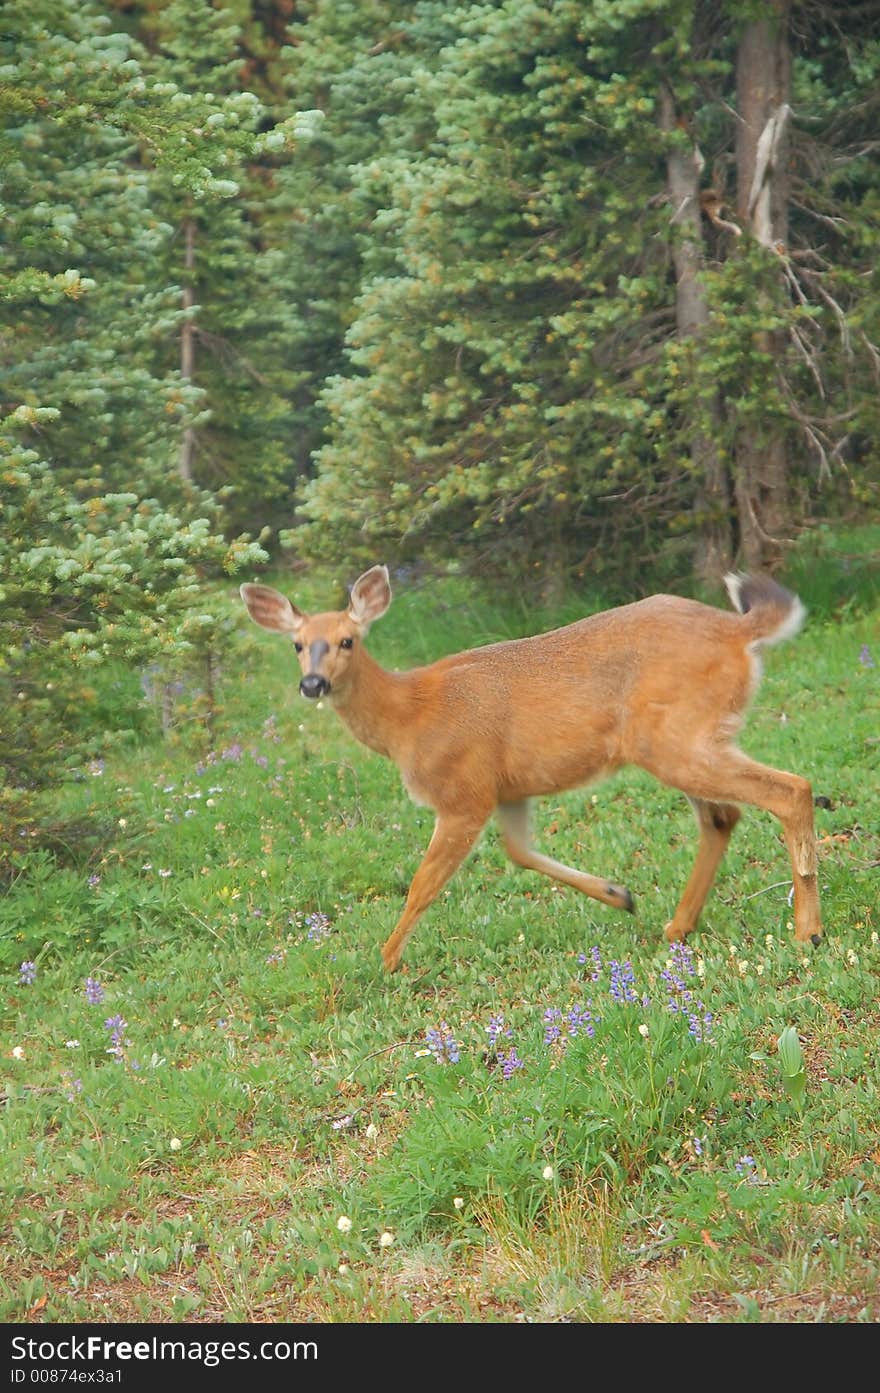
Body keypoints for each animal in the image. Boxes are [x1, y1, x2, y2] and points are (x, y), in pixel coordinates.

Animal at [236, 565, 824, 969]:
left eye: (347, 640)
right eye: (295, 645)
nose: (313, 684)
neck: (409, 717)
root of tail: (738, 633)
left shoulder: (464, 791)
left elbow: (423, 884)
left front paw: (386, 960)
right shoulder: (509, 790)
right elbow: (519, 852)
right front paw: (619, 894)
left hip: (676, 738)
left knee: (791, 789)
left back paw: (807, 932)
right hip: (683, 739)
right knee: (724, 817)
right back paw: (676, 928)